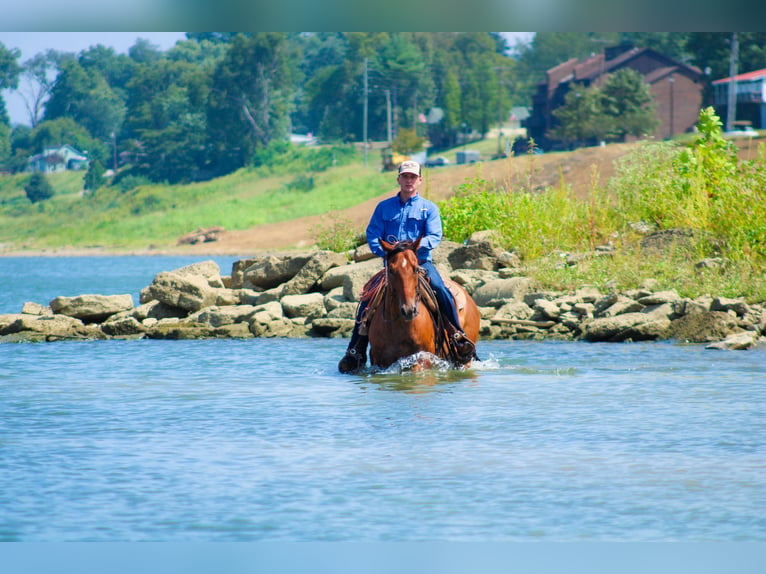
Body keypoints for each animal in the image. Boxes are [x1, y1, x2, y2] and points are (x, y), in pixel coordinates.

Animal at [366, 238, 480, 374]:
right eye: (391, 270)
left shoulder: (423, 358)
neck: (397, 326)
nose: (409, 310)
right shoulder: (379, 363)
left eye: (416, 269)